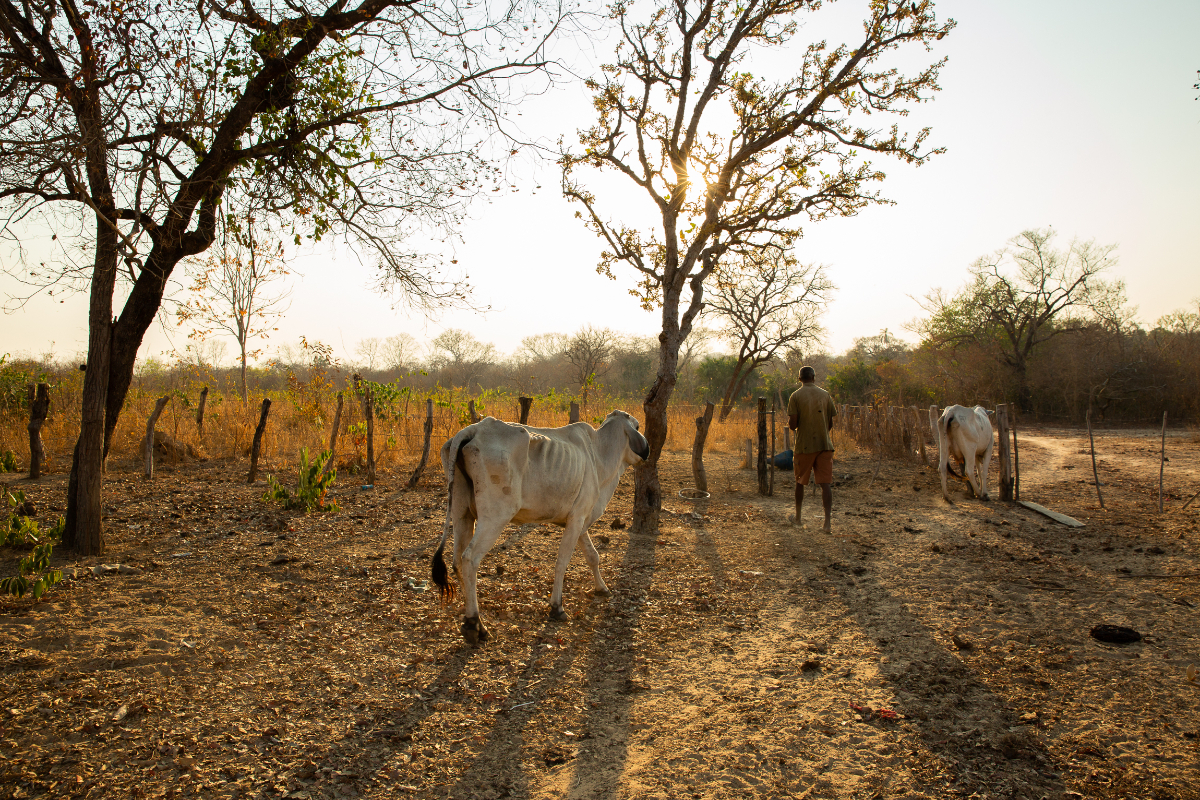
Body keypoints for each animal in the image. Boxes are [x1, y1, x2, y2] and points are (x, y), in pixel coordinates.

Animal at [432, 412, 652, 642]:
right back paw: (475, 623)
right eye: (638, 426)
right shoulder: (576, 519)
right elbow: (562, 562)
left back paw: (469, 620)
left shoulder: (580, 521)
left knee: (457, 561)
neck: (599, 454)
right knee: (469, 559)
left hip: (462, 514)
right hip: (495, 516)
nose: (648, 451)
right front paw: (557, 607)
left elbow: (593, 556)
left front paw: (601, 588)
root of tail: (474, 429)